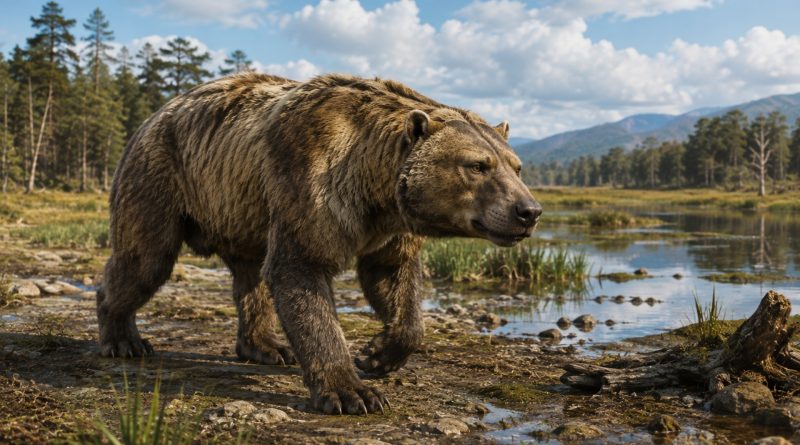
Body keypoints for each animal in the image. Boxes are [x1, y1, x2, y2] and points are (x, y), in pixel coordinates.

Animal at [96, 72, 542, 415]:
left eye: (516, 166)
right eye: (477, 165)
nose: (528, 210)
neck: (375, 190)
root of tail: (155, 114)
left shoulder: (391, 229)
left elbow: (392, 280)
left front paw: (378, 353)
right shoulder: (311, 182)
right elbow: (303, 273)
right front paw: (353, 392)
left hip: (242, 210)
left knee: (250, 275)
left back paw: (267, 346)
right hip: (162, 177)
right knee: (144, 259)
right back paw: (124, 338)